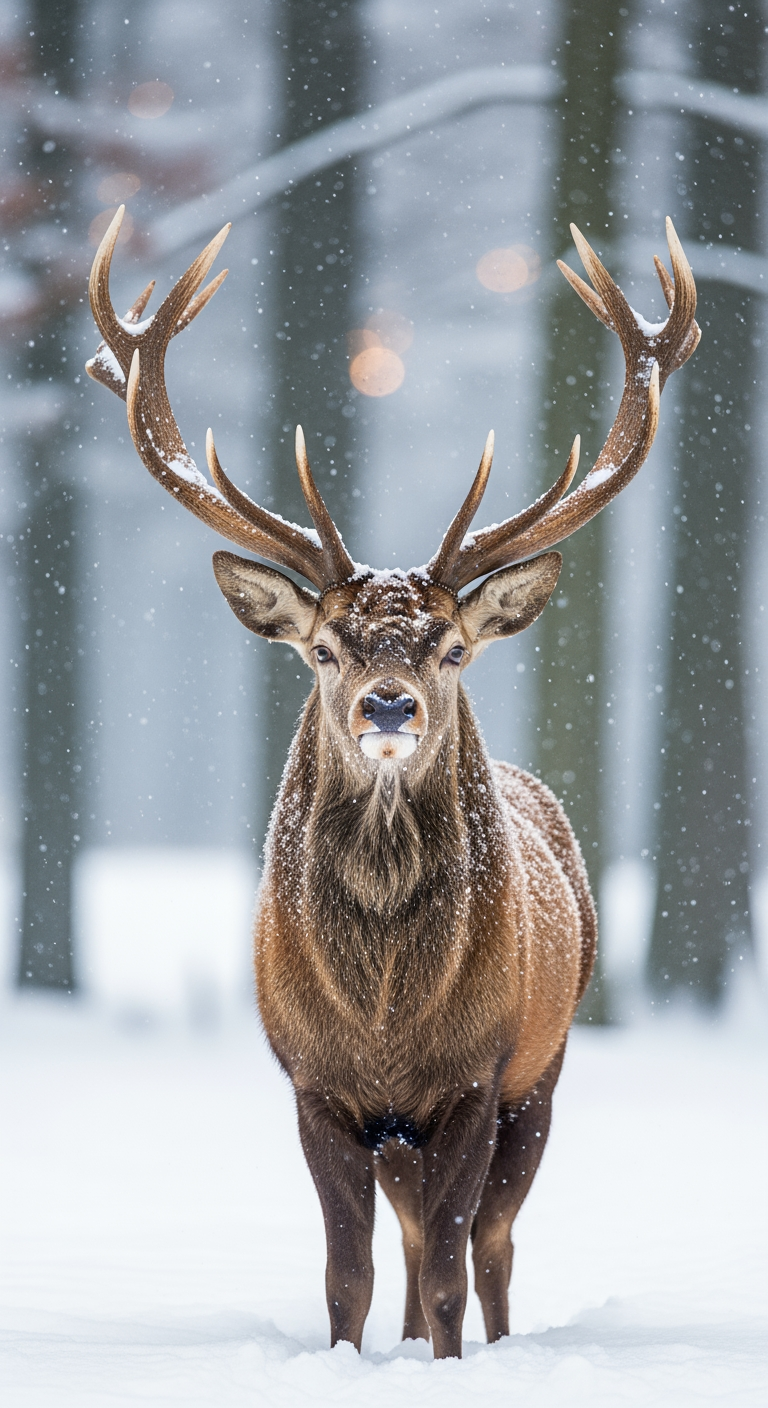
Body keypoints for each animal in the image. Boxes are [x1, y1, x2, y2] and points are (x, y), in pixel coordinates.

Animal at [86, 208, 698, 1359]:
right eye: (324, 647)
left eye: (452, 648)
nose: (387, 705)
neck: (383, 1020)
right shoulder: (315, 1083)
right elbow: (348, 1272)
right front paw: (352, 1359)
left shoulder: (475, 1075)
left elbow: (451, 1264)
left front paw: (446, 1361)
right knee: (414, 1239)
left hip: (545, 1067)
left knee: (490, 1241)